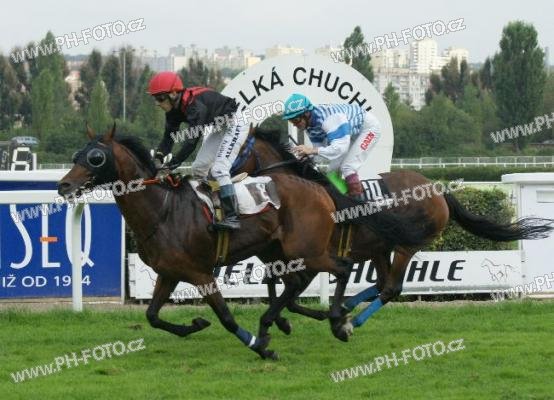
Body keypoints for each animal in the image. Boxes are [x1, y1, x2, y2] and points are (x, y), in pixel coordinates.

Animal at [57, 124, 436, 358]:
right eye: (77, 154)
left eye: (95, 157)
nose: (63, 185)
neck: (162, 210)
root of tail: (319, 189)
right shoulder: (169, 272)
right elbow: (152, 315)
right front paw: (195, 324)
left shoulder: (200, 273)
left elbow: (226, 317)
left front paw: (260, 347)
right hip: (283, 249)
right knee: (299, 283)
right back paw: (288, 321)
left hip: (306, 249)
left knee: (341, 270)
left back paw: (339, 320)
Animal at [235, 126, 554, 337]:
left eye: (237, 149)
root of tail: (438, 190)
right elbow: (284, 289)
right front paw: (301, 317)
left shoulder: (313, 255)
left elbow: (292, 291)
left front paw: (316, 318)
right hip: (379, 246)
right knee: (380, 284)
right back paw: (346, 311)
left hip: (405, 245)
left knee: (391, 288)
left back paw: (350, 321)